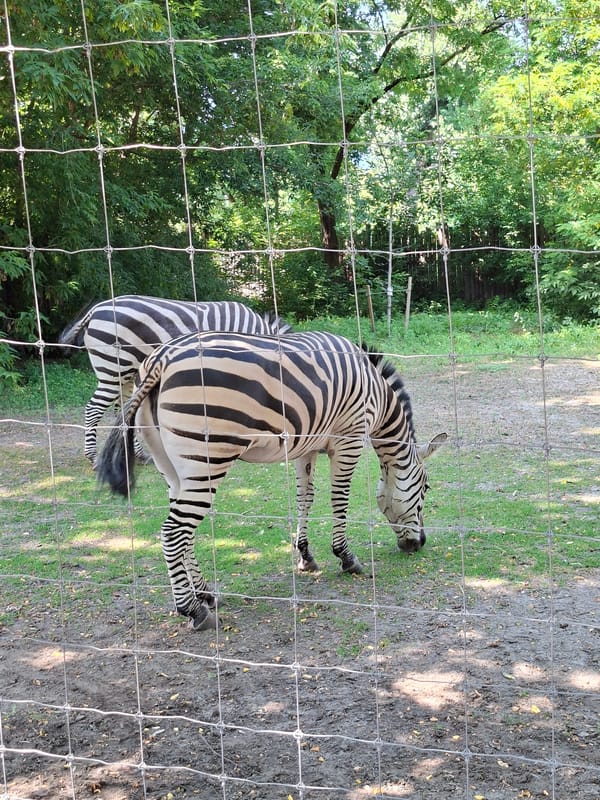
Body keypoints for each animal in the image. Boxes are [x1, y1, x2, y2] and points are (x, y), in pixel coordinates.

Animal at [58, 296, 291, 466]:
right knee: (94, 408)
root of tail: (95, 310)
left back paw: (139, 456)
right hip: (113, 369)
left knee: (123, 410)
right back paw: (93, 457)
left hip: (126, 372)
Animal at [97, 330, 447, 631]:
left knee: (184, 532)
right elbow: (339, 498)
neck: (377, 394)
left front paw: (305, 555)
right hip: (205, 459)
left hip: (171, 466)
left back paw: (206, 593)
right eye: (426, 488)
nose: (419, 544)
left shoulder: (307, 445)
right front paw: (346, 558)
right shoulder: (348, 439)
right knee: (173, 532)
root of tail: (160, 358)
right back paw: (193, 609)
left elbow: (306, 497)